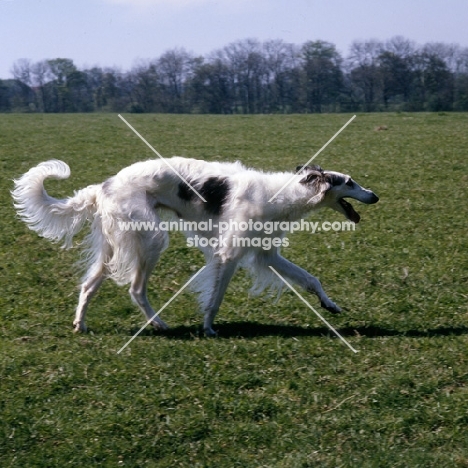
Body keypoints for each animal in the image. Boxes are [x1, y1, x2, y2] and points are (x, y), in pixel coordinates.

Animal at [11, 157, 376, 336]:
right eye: (350, 182)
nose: (375, 195)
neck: (280, 193)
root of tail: (104, 185)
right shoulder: (228, 254)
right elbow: (215, 298)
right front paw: (208, 328)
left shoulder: (267, 254)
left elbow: (311, 279)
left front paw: (330, 305)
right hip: (152, 240)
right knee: (135, 289)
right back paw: (158, 325)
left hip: (113, 247)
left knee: (88, 286)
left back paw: (81, 325)